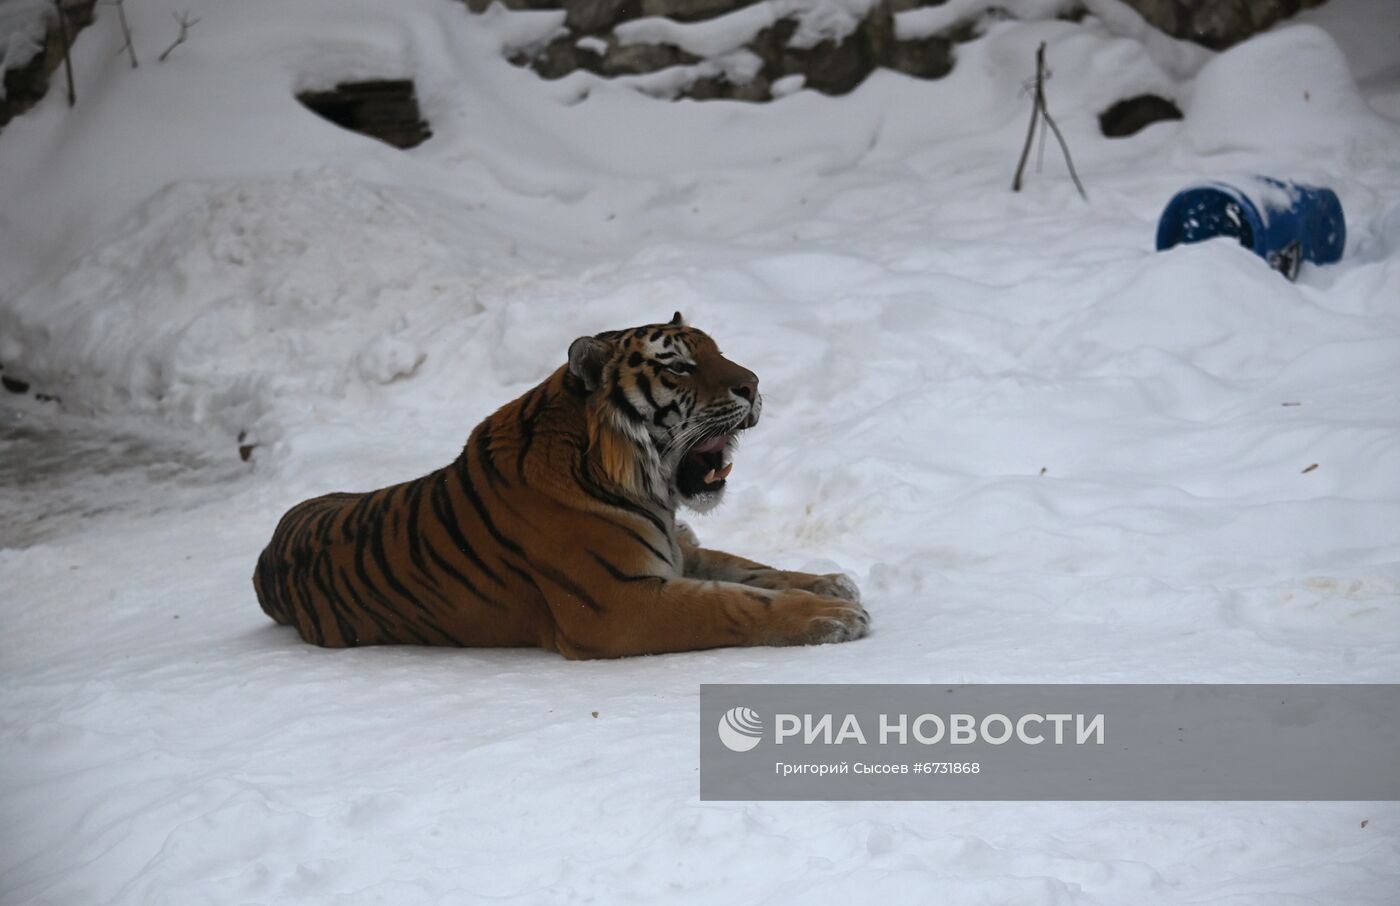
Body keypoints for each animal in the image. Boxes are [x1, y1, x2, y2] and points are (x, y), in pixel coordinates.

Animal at [250, 312, 862, 658]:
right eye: (679, 367)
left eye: (717, 351)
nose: (754, 384)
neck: (652, 493)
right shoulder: (619, 605)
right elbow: (735, 604)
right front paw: (832, 617)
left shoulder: (677, 551)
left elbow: (749, 569)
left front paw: (831, 584)